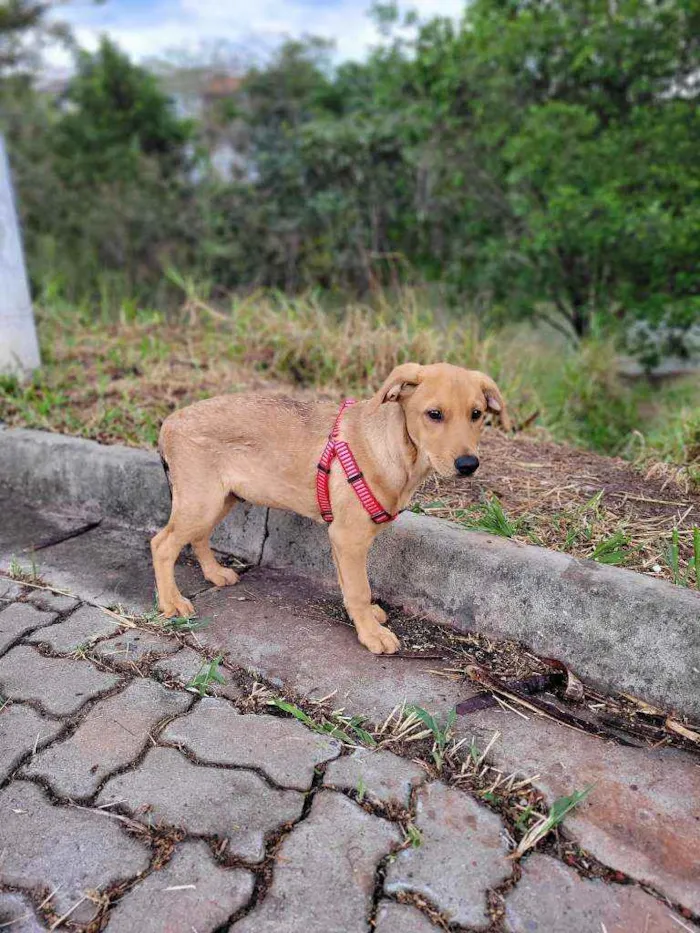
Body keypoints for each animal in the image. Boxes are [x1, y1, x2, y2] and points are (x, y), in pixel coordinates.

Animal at [152, 362, 508, 656]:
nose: (468, 465)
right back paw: (172, 602)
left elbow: (349, 586)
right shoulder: (349, 537)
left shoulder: (341, 539)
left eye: (476, 414)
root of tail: (169, 422)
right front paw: (371, 634)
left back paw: (214, 574)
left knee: (197, 537)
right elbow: (360, 589)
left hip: (220, 499)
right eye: (434, 414)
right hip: (202, 501)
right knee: (162, 544)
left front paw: (366, 620)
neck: (394, 446)